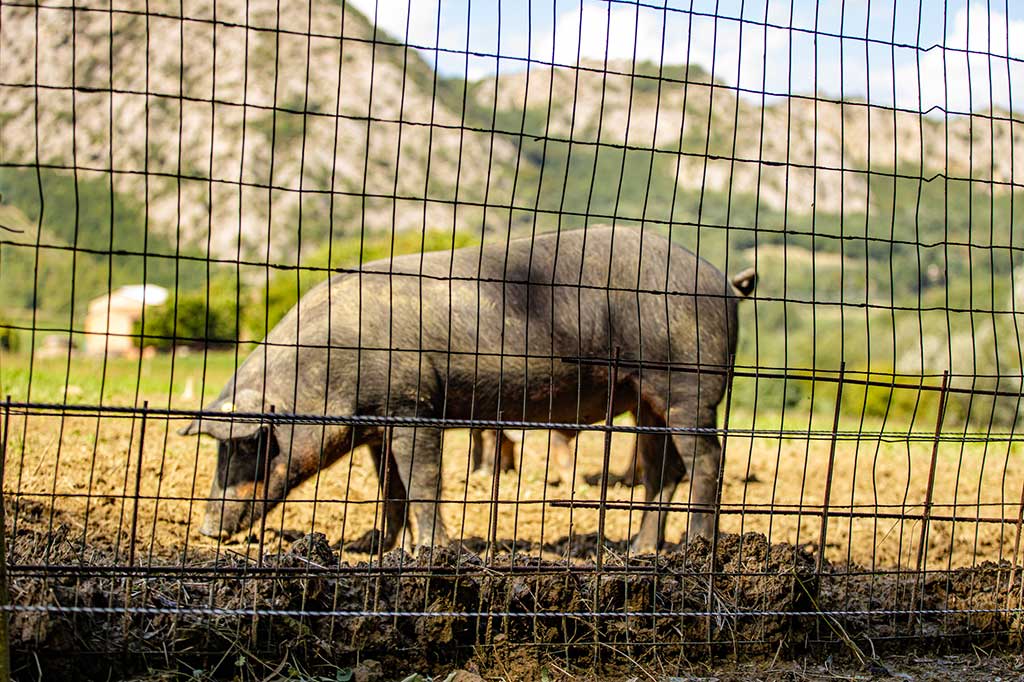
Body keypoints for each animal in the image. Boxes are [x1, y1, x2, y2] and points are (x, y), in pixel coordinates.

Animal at [178, 225, 753, 557]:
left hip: (688, 386)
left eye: (251, 445)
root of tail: (724, 282)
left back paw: (697, 549)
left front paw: (430, 553)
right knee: (664, 472)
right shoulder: (378, 425)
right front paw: (371, 548)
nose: (205, 529)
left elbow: (423, 482)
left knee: (708, 460)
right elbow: (390, 490)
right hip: (646, 399)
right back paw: (639, 553)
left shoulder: (413, 406)